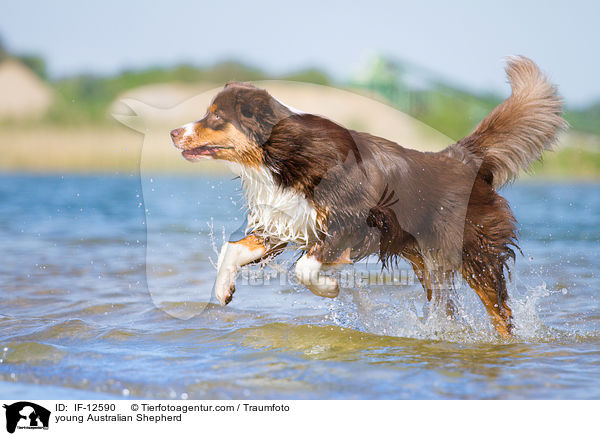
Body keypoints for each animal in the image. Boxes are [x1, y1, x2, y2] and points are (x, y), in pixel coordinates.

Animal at [170, 57, 568, 338]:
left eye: (215, 117)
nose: (173, 132)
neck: (283, 154)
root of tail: (463, 158)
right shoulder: (286, 220)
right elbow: (232, 249)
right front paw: (222, 291)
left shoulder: (350, 223)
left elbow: (305, 268)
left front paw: (329, 289)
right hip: (427, 260)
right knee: (446, 305)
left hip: (475, 251)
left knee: (501, 312)